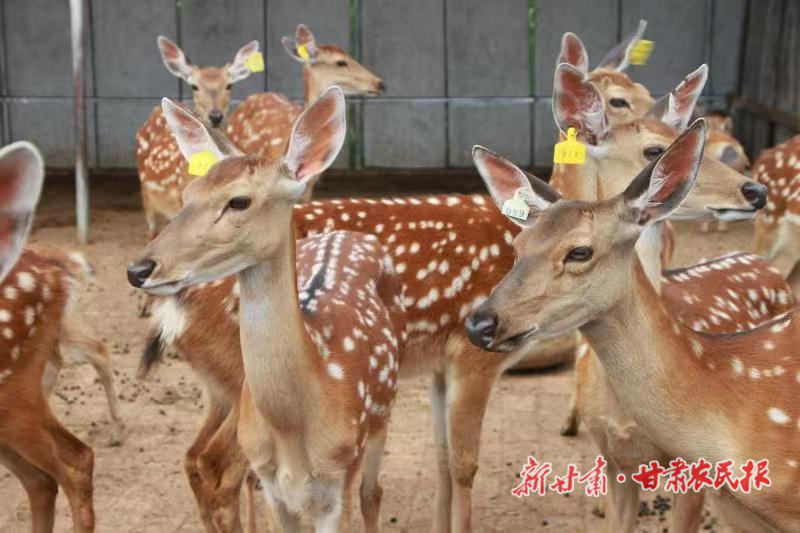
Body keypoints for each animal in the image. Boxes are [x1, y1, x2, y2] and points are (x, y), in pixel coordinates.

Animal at [128, 87, 406, 532]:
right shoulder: (273, 486)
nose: (139, 269)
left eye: (239, 201)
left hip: (380, 418)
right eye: (188, 196)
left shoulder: (338, 478)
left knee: (372, 491)